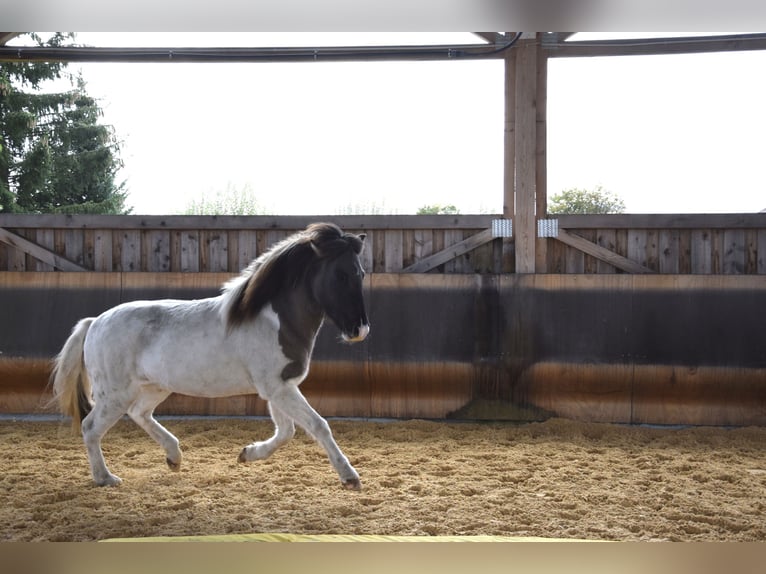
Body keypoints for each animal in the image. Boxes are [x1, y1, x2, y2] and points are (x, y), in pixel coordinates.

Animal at [51, 224, 372, 490]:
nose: (360, 329)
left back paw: (174, 457)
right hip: (116, 393)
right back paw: (105, 478)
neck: (274, 321)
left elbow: (286, 432)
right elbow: (318, 425)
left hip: (155, 386)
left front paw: (247, 454)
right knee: (91, 427)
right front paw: (350, 477)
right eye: (341, 274)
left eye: (361, 273)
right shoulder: (279, 388)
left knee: (139, 413)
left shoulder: (280, 387)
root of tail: (95, 322)